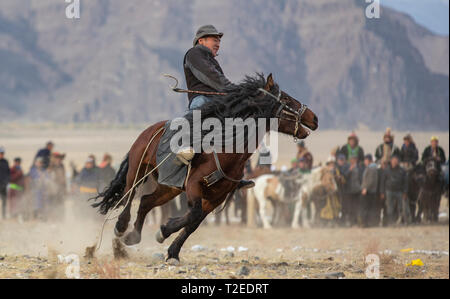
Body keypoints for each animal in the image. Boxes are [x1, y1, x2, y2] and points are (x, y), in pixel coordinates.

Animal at [91, 74, 318, 262]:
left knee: (146, 201)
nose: (314, 118)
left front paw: (172, 251)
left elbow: (194, 222)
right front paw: (164, 230)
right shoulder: (194, 185)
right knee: (129, 195)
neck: (227, 149)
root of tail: (150, 130)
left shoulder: (215, 197)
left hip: (169, 187)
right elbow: (193, 214)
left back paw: (133, 236)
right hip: (137, 169)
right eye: (286, 99)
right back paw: (121, 228)